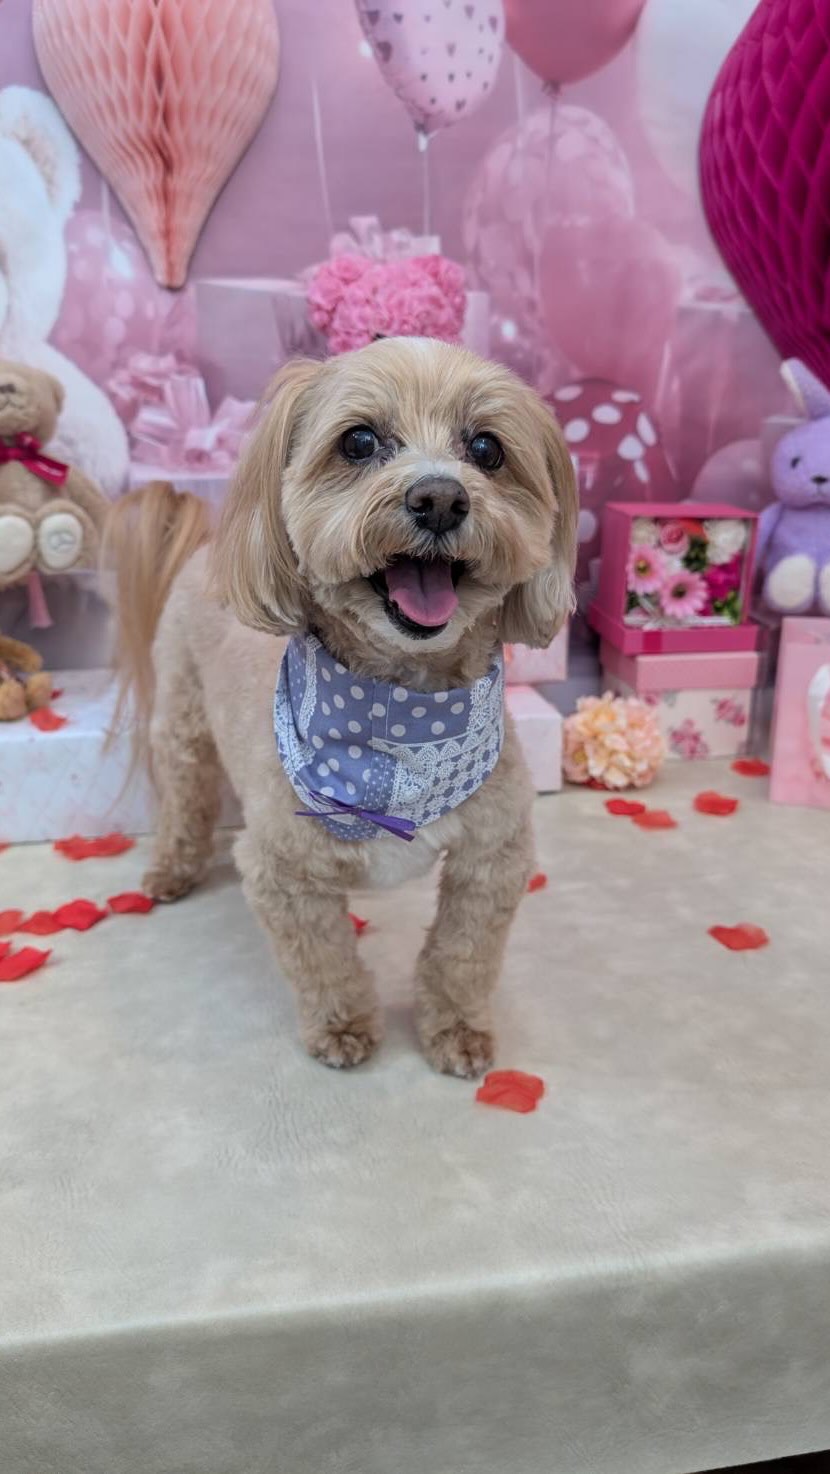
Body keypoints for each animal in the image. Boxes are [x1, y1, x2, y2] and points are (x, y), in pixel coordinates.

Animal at [105, 338, 577, 1076]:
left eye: (487, 448)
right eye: (358, 441)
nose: (439, 497)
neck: (401, 725)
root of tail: (211, 545)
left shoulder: (493, 856)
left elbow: (462, 954)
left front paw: (456, 1029)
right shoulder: (281, 870)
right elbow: (322, 958)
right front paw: (343, 1025)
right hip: (181, 721)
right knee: (185, 798)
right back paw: (171, 868)